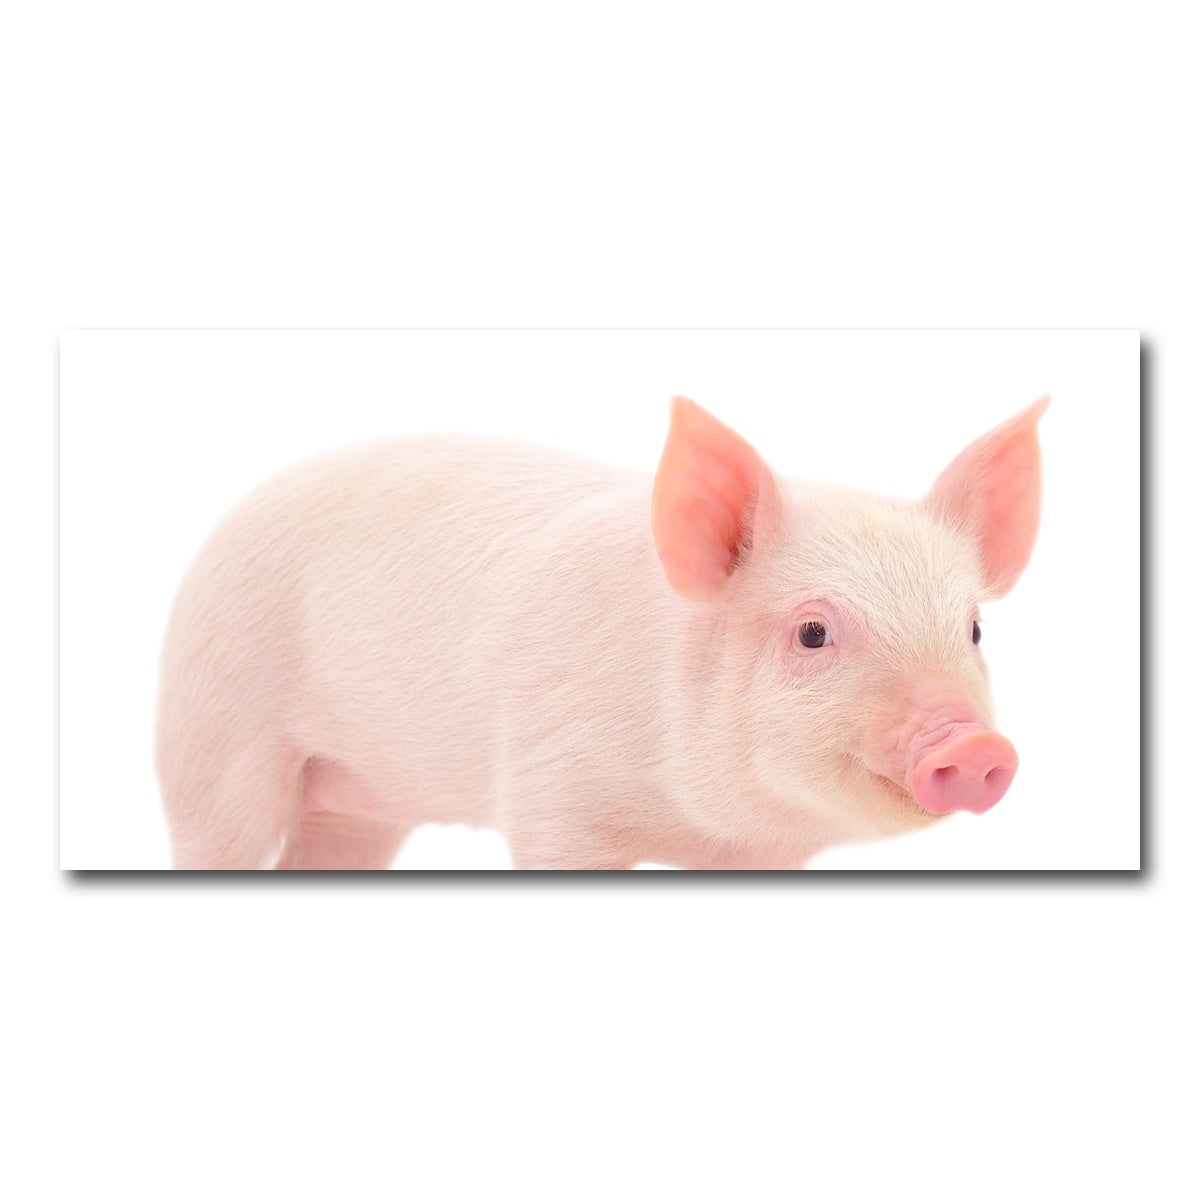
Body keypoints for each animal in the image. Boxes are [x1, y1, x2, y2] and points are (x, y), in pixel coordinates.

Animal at [156, 395, 1048, 870]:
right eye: (812, 632)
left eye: (972, 629)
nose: (974, 747)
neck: (696, 826)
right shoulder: (550, 791)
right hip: (212, 733)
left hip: (360, 801)